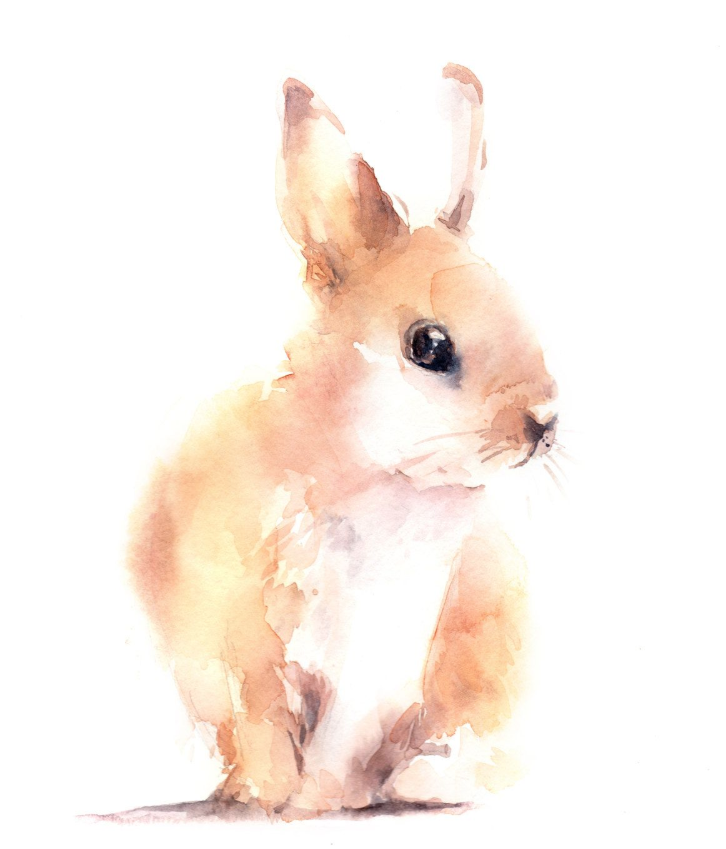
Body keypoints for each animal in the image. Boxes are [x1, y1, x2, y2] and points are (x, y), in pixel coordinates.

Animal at [128, 63, 558, 820]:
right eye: (428, 345)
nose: (543, 422)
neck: (372, 473)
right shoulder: (241, 642)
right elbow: (261, 726)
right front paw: (274, 800)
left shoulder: (381, 666)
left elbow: (341, 745)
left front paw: (319, 803)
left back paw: (420, 780)